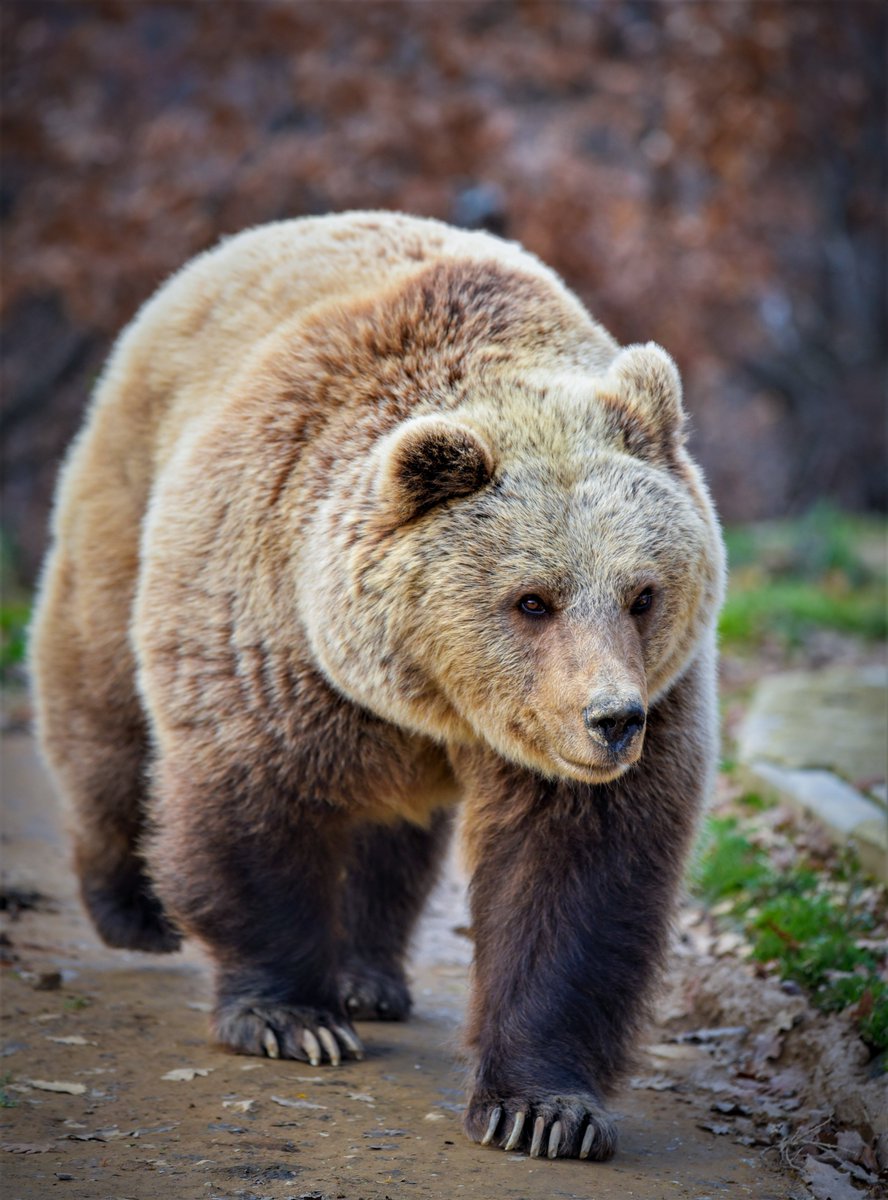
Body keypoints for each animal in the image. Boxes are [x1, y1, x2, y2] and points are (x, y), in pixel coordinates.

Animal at [30, 211, 725, 1161]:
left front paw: (542, 1108)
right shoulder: (273, 639)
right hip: (129, 490)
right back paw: (131, 909)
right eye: (532, 599)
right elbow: (251, 803)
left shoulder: (622, 721)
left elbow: (576, 877)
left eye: (642, 593)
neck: (430, 696)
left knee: (389, 832)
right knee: (100, 696)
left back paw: (369, 972)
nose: (612, 719)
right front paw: (293, 1018)